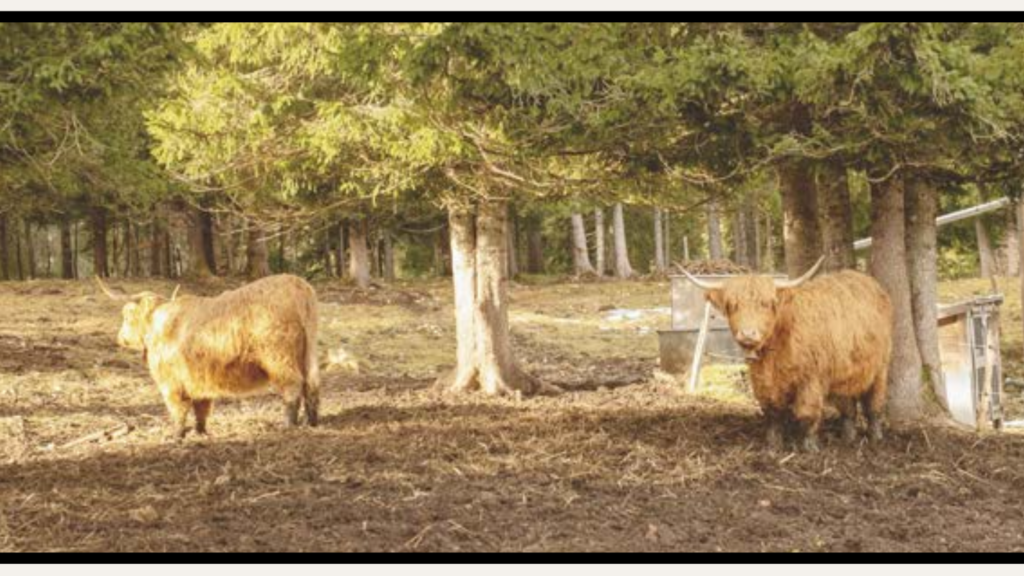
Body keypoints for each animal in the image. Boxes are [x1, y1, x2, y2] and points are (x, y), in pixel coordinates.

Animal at [97, 274, 320, 440]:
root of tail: (299, 286)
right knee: (312, 385)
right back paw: (312, 422)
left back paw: (288, 424)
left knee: (293, 386)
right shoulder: (198, 379)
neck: (158, 324)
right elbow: (202, 408)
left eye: (126, 316)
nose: (120, 338)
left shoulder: (171, 382)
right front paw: (201, 432)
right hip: (308, 354)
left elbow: (178, 409)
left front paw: (177, 435)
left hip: (279, 358)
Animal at [680, 258, 893, 452]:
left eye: (766, 304)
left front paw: (809, 448)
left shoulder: (811, 379)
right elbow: (772, 413)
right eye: (732, 305)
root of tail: (865, 279)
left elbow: (807, 413)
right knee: (848, 407)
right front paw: (773, 446)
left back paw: (876, 437)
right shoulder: (764, 382)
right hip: (846, 371)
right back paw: (848, 438)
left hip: (880, 367)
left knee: (874, 403)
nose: (748, 334)